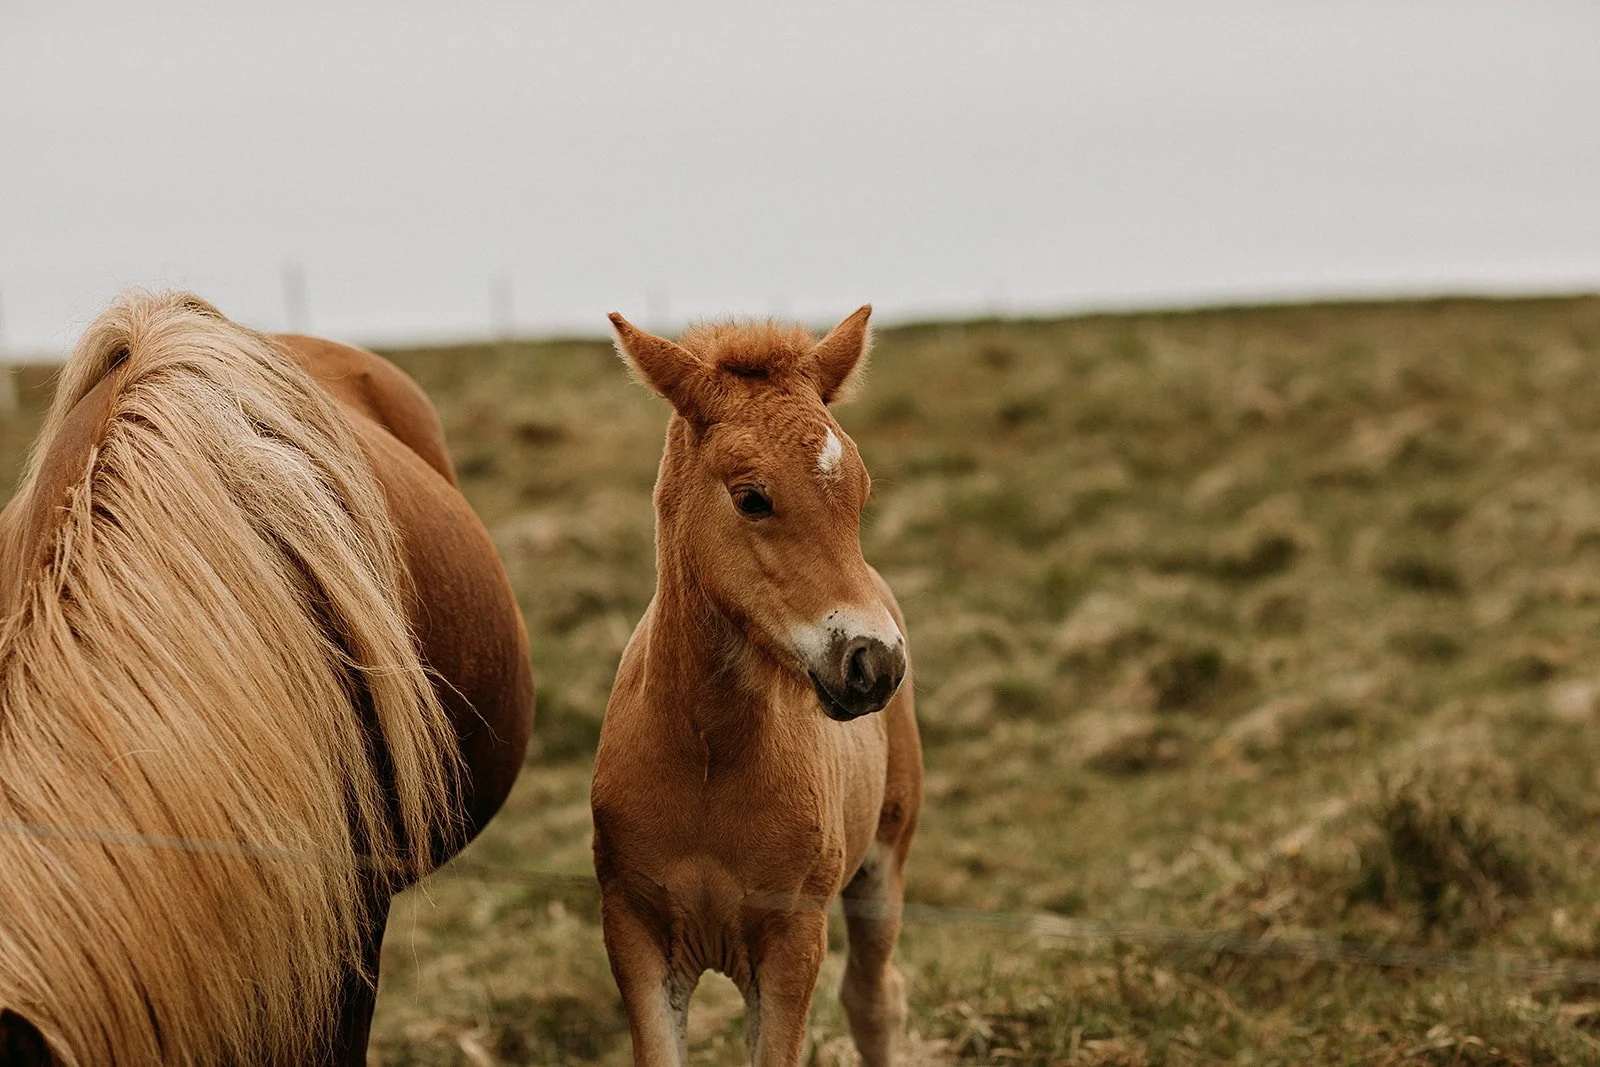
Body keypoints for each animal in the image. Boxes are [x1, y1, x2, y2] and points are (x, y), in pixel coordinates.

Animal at [591, 306, 923, 1067]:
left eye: (860, 493)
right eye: (753, 498)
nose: (874, 662)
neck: (708, 755)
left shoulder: (791, 939)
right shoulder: (635, 932)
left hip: (883, 864)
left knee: (873, 996)